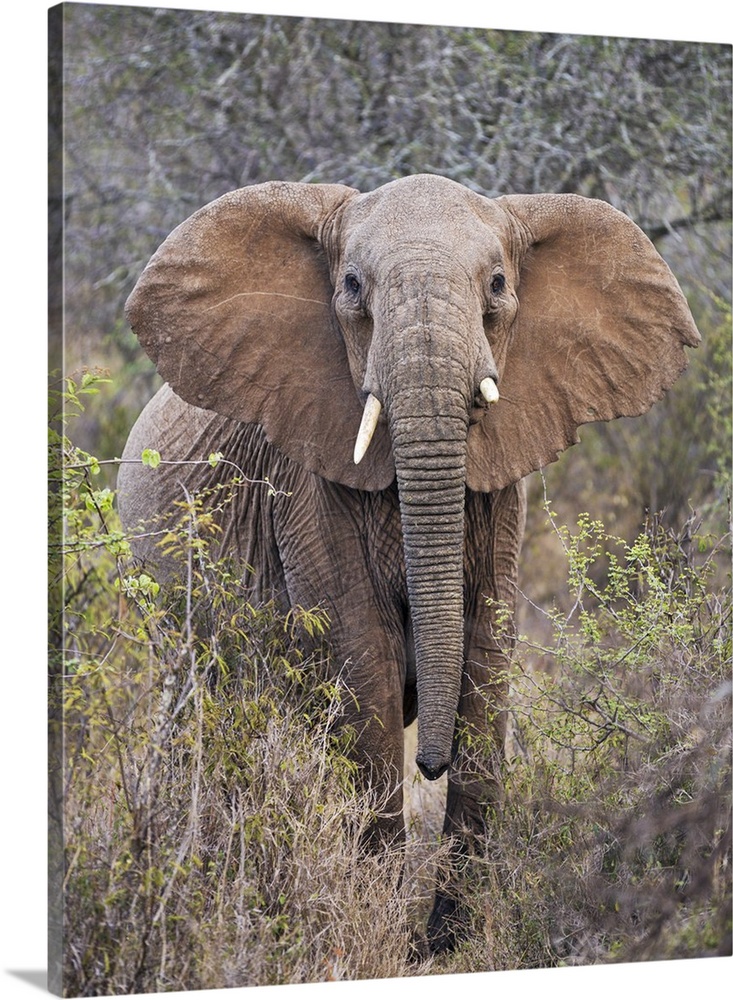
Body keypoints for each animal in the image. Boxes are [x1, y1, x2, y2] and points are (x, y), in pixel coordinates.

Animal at [117, 172, 700, 952]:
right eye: (353, 286)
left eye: (497, 284)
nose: (430, 758)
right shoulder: (307, 483)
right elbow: (363, 661)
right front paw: (387, 931)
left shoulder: (500, 492)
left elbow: (486, 656)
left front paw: (451, 940)